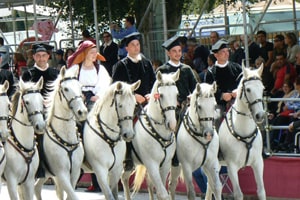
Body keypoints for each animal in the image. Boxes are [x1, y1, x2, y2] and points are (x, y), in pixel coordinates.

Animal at [34, 66, 88, 200]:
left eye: (80, 87)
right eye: (66, 89)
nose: (82, 112)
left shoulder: (74, 173)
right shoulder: (61, 173)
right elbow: (72, 195)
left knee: (36, 188)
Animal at [120, 70, 179, 200]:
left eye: (176, 94)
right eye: (161, 95)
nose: (172, 124)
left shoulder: (165, 165)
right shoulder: (151, 164)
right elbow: (163, 194)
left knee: (125, 178)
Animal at [207, 64, 266, 200]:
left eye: (262, 89)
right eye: (248, 89)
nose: (260, 115)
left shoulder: (258, 163)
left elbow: (261, 191)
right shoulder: (232, 167)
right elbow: (238, 194)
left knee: (210, 185)